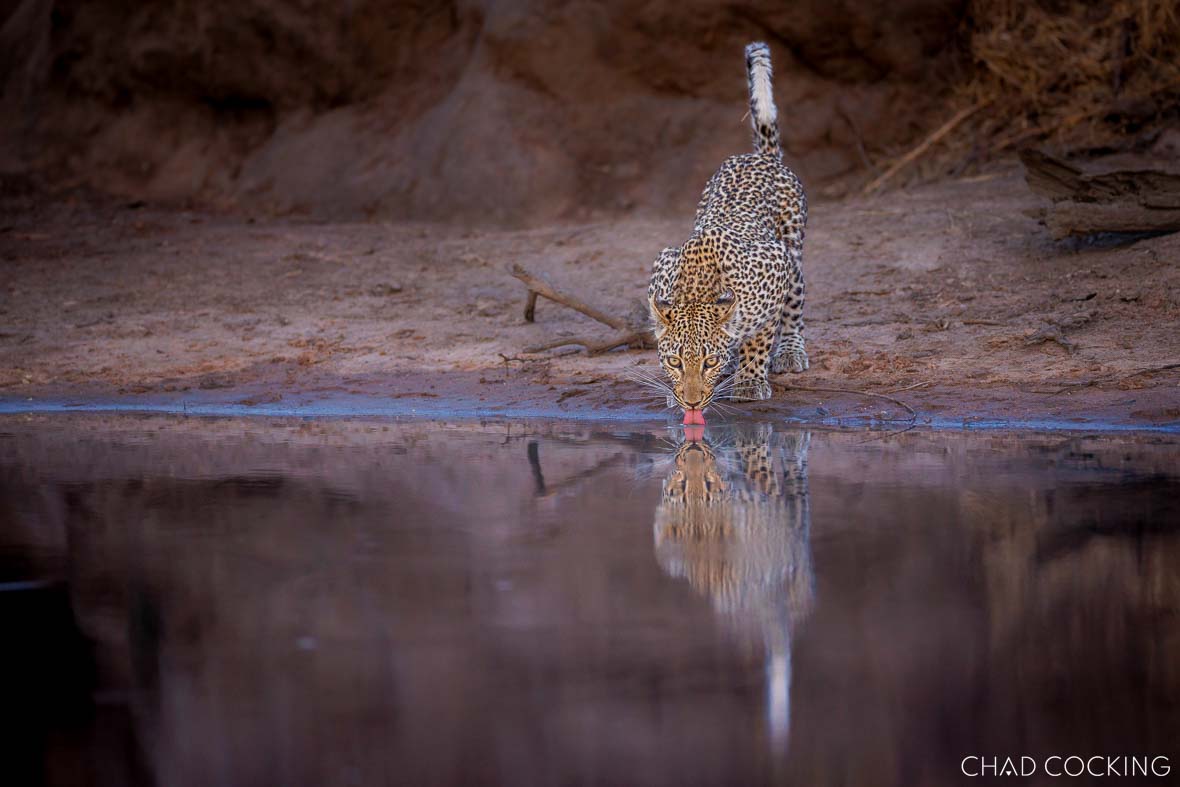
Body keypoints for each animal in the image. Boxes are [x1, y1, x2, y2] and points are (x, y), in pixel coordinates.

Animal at [648, 42, 808, 421]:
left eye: (709, 362)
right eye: (674, 361)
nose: (691, 403)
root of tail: (761, 158)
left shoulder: (775, 267)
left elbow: (760, 338)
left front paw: (749, 381)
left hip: (793, 250)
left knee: (795, 308)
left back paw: (789, 351)